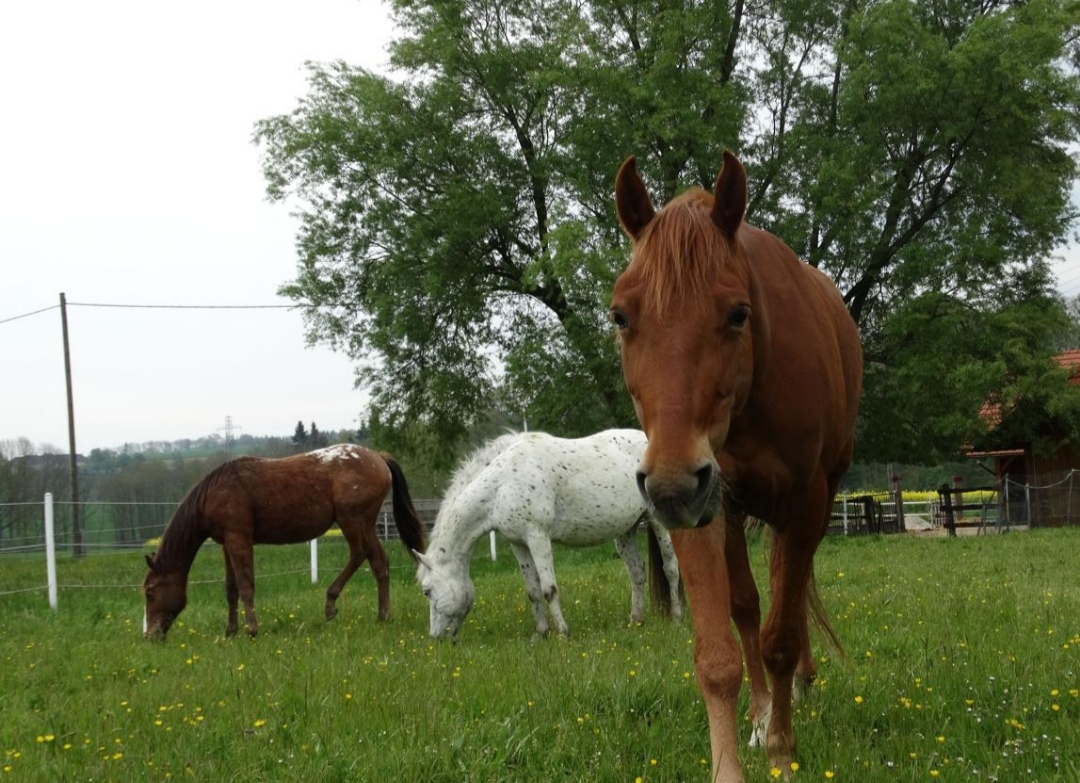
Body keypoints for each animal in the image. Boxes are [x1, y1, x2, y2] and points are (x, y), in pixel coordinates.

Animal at [142, 444, 427, 639]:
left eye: (150, 593)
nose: (150, 635)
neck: (215, 493)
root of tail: (379, 457)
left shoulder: (239, 539)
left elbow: (246, 585)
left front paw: (252, 629)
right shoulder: (226, 543)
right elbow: (231, 588)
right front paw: (231, 631)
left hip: (353, 520)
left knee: (361, 553)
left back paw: (333, 604)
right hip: (364, 523)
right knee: (378, 562)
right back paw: (382, 616)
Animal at [415, 429, 682, 640]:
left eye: (427, 591)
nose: (435, 637)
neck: (503, 483)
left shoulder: (538, 537)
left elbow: (548, 588)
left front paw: (563, 633)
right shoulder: (518, 543)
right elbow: (533, 590)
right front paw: (541, 633)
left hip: (656, 520)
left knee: (670, 568)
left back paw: (676, 618)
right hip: (626, 530)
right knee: (636, 571)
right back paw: (636, 620)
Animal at [611, 151, 862, 781]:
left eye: (738, 312)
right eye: (620, 315)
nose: (671, 485)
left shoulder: (804, 504)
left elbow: (782, 635)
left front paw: (782, 750)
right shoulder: (702, 510)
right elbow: (719, 653)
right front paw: (742, 747)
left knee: (790, 599)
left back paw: (797, 688)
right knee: (749, 606)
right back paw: (761, 711)